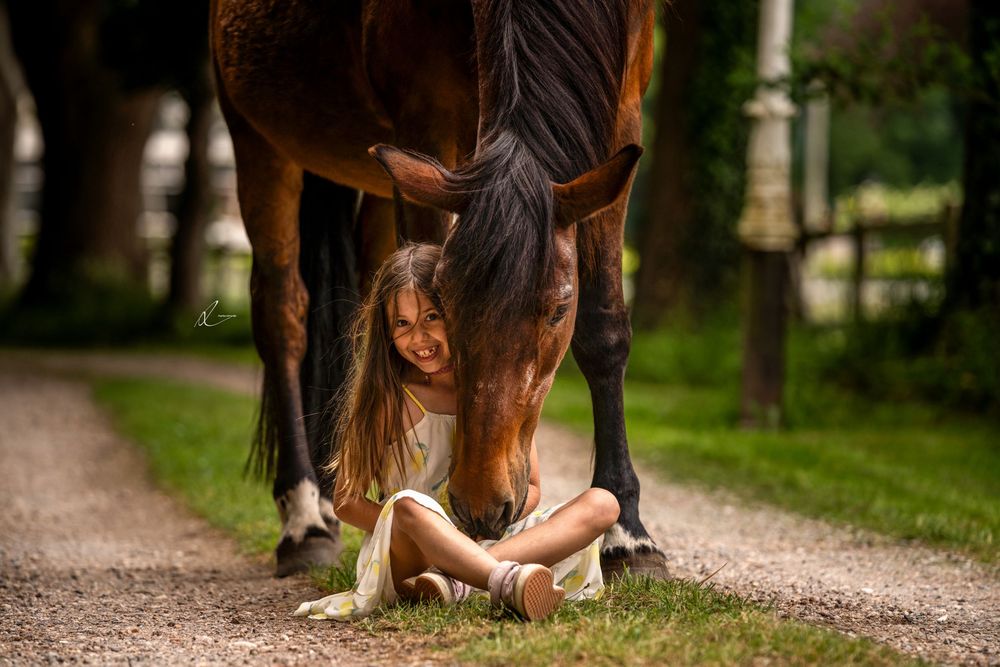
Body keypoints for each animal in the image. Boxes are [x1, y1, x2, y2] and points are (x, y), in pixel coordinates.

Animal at [211, 0, 667, 578]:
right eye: (441, 303)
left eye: (558, 309)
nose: (481, 505)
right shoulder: (424, 120)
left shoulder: (621, 113)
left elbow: (604, 329)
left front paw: (628, 534)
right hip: (258, 141)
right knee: (281, 315)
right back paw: (305, 518)